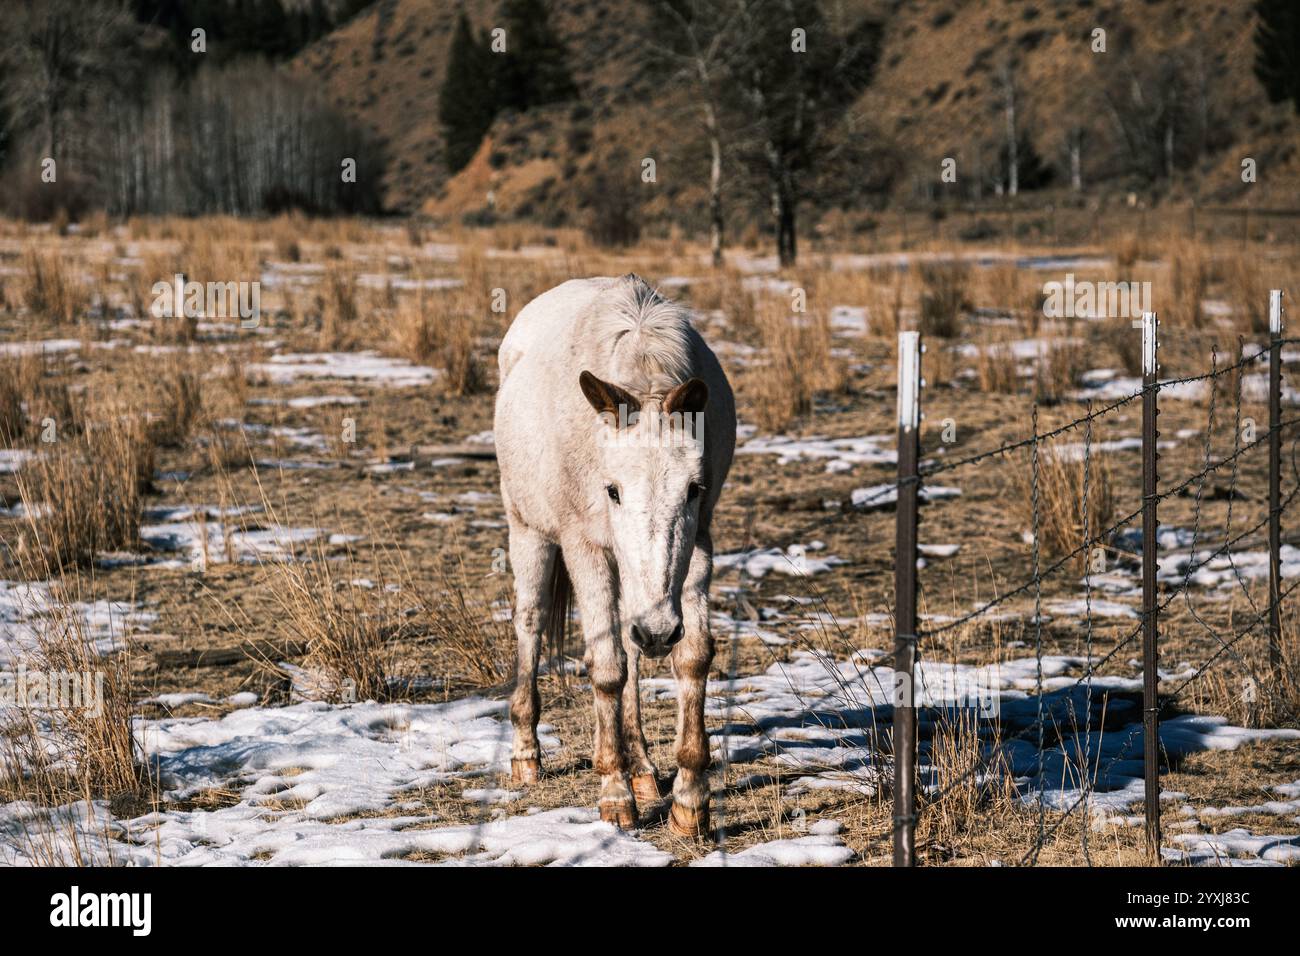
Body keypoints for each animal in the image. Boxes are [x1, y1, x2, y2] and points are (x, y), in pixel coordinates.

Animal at [493, 273, 738, 832]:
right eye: (613, 491)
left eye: (693, 489)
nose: (660, 630)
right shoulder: (585, 547)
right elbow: (605, 668)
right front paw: (614, 795)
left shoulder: (698, 543)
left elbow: (692, 657)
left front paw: (689, 801)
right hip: (528, 531)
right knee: (531, 622)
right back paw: (526, 755)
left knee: (631, 644)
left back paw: (644, 767)